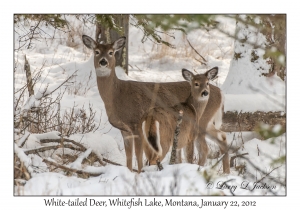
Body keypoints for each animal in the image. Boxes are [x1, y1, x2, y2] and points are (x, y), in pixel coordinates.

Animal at [82, 34, 227, 172]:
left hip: (201, 123)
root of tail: (220, 92)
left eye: (111, 52)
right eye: (96, 51)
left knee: (204, 149)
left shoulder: (135, 124)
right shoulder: (124, 130)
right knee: (222, 138)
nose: (103, 61)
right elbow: (129, 158)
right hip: (206, 123)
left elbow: (138, 156)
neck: (117, 95)